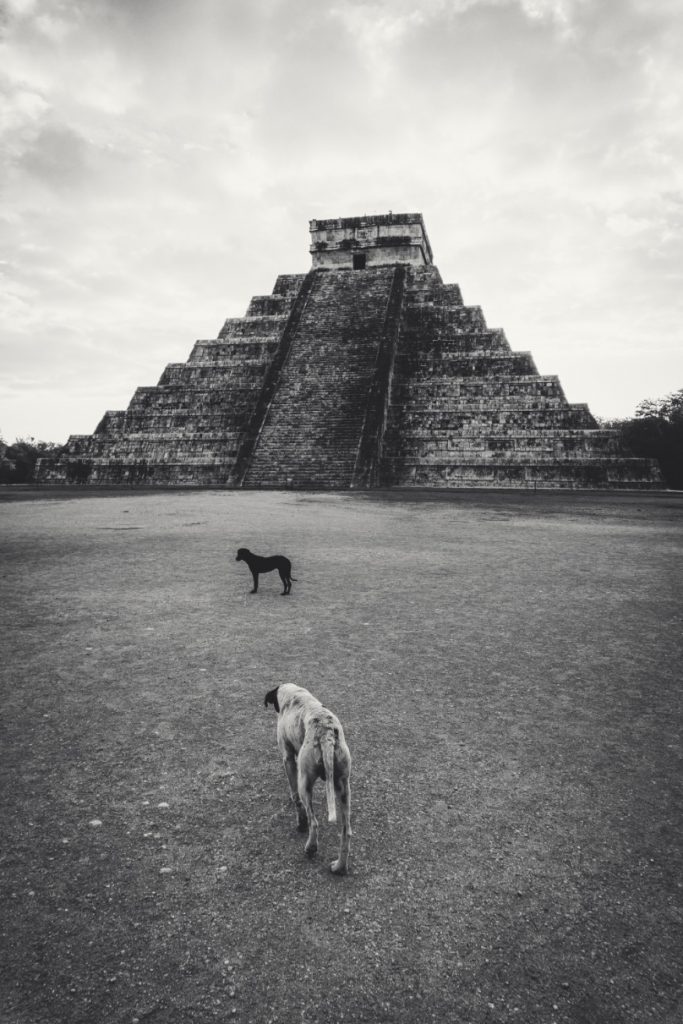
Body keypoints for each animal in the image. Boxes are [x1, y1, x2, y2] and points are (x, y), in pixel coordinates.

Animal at [264, 688, 352, 872]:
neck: (292, 695)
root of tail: (326, 734)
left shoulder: (288, 759)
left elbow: (294, 796)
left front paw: (301, 822)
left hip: (305, 782)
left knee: (314, 822)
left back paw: (311, 847)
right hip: (343, 789)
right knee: (346, 832)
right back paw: (339, 867)